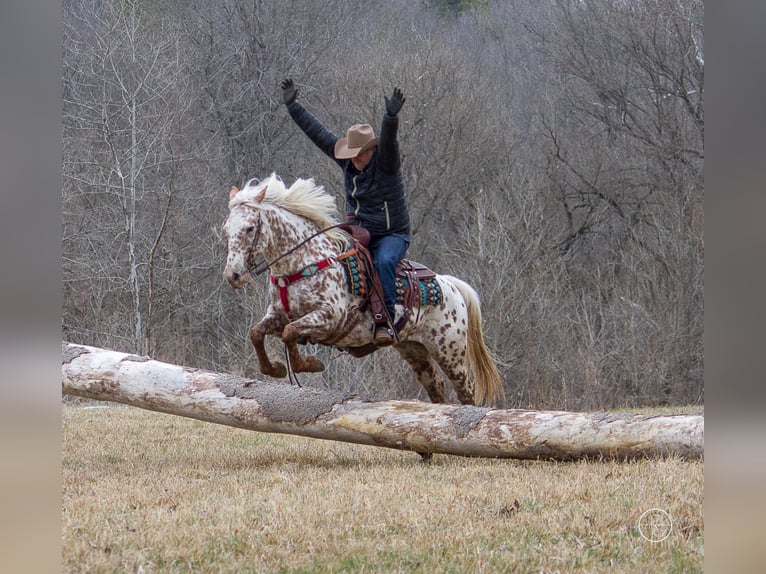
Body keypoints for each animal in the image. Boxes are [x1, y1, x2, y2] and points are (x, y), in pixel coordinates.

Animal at [225, 173, 508, 408]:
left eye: (250, 228)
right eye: (227, 228)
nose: (233, 275)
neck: (305, 261)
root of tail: (450, 285)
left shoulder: (330, 317)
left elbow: (289, 333)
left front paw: (310, 364)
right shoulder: (278, 316)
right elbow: (257, 333)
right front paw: (275, 369)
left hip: (450, 353)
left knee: (467, 393)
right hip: (414, 350)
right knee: (436, 388)